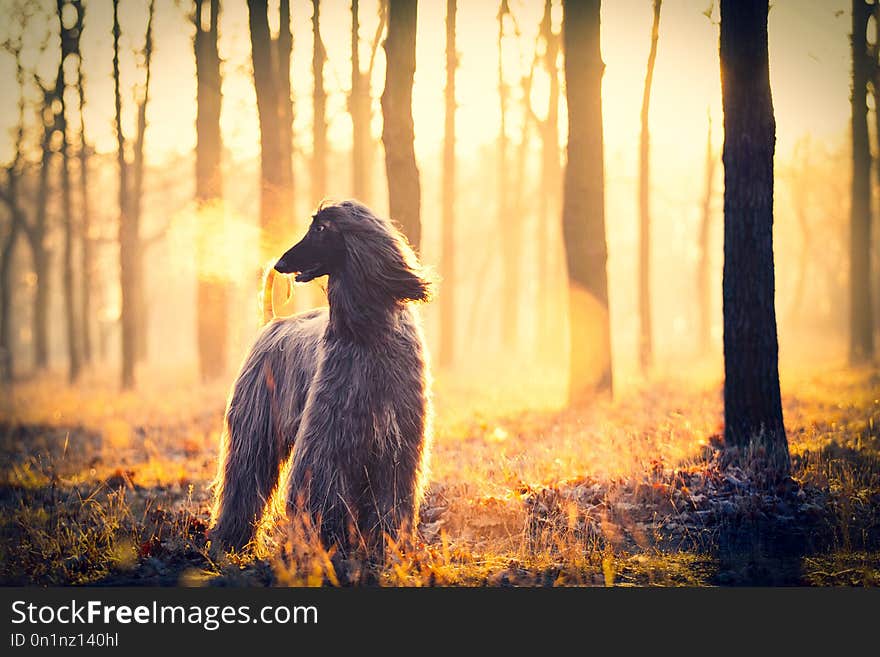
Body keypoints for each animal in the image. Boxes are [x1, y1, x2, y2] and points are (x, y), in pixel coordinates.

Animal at [211, 200, 436, 560]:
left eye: (321, 229)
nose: (280, 264)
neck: (370, 335)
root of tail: (273, 322)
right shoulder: (330, 437)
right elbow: (322, 489)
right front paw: (327, 543)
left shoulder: (396, 446)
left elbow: (389, 499)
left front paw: (385, 545)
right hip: (254, 425)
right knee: (243, 480)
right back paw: (233, 540)